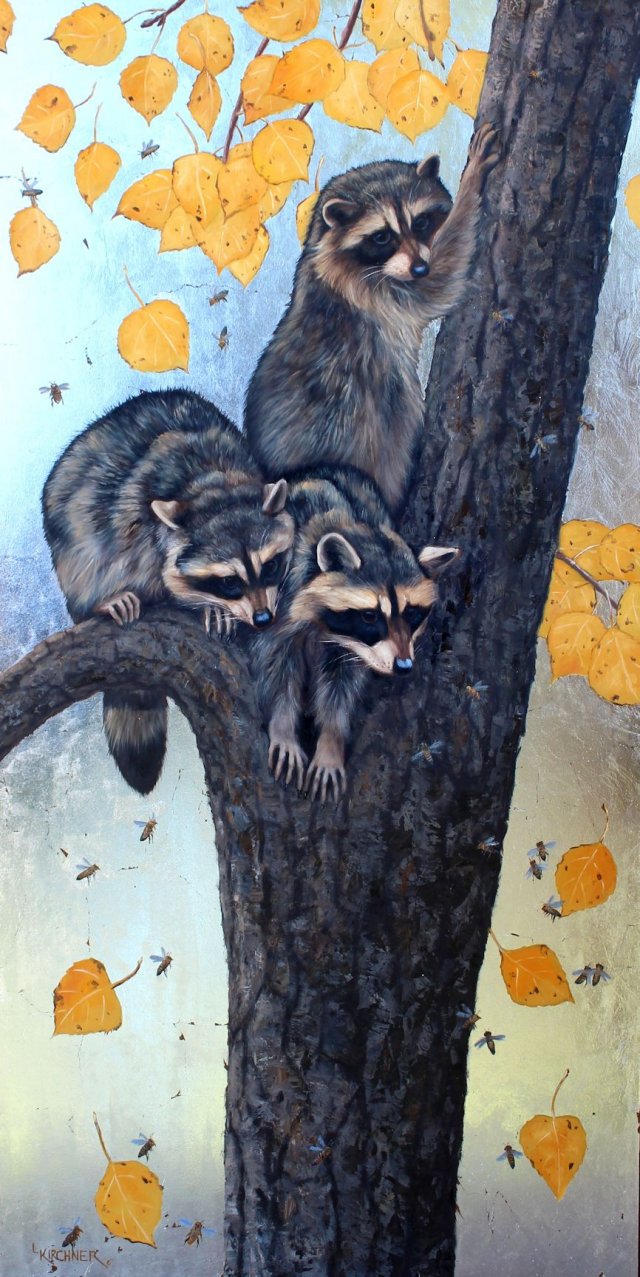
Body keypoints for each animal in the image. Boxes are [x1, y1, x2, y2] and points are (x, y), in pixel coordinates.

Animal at [42, 389, 294, 794]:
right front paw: (204, 605)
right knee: (84, 548)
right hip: (67, 532)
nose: (262, 619)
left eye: (270, 566)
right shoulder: (134, 510)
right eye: (229, 582)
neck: (212, 483)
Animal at [245, 123, 499, 513]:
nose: (419, 267)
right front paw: (472, 185)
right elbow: (443, 276)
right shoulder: (375, 294)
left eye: (420, 222)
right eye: (381, 237)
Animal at [253, 465, 458, 802]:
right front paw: (283, 727)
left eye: (412, 614)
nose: (404, 666)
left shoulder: (355, 650)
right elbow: (276, 664)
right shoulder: (279, 604)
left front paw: (331, 741)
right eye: (369, 616)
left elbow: (341, 687)